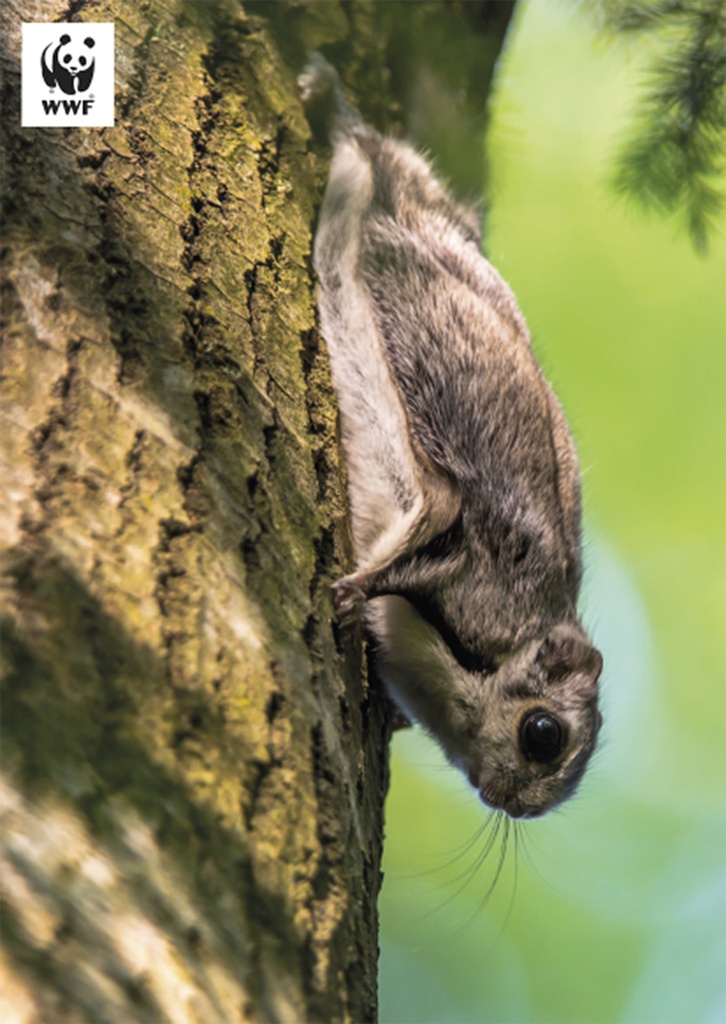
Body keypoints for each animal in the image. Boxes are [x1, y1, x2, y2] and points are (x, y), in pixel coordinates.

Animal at [296, 54, 602, 823]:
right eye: (543, 734)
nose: (513, 804)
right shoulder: (469, 564)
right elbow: (429, 520)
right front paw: (349, 593)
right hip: (392, 232)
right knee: (371, 155)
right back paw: (334, 104)